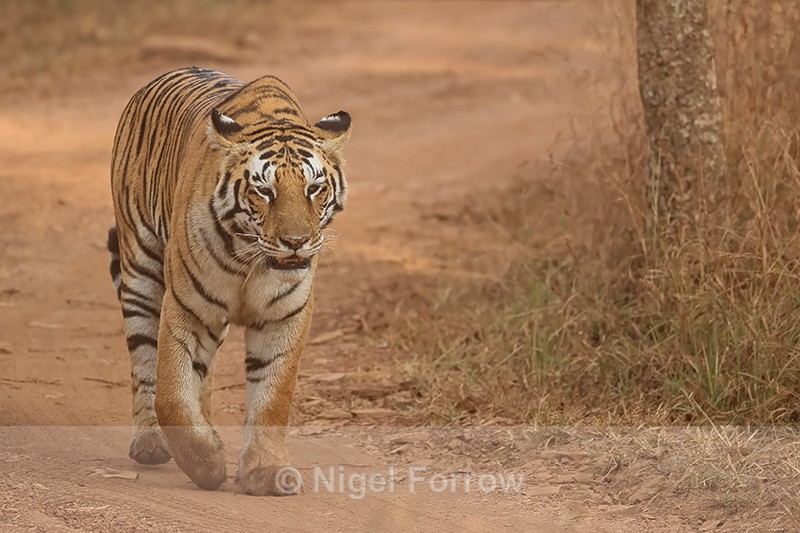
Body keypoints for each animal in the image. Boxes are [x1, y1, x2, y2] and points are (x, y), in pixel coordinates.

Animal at [107, 67, 351, 495]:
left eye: (314, 188)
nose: (295, 241)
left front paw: (265, 472)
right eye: (264, 191)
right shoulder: (186, 306)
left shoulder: (284, 316)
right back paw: (150, 444)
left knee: (202, 375)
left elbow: (272, 395)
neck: (251, 257)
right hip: (140, 271)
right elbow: (171, 393)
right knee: (145, 363)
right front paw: (206, 465)